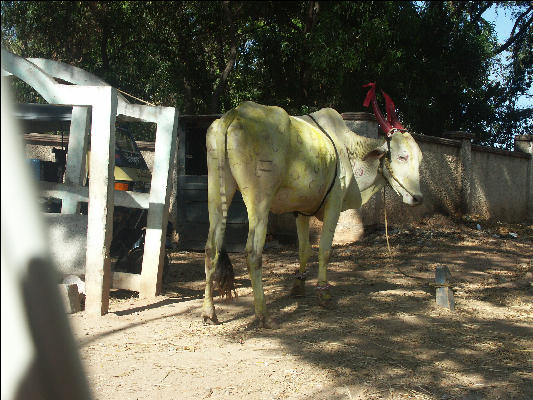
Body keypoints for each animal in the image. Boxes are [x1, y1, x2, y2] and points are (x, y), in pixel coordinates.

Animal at [202, 83, 422, 328]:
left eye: (420, 159)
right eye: (402, 156)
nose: (417, 198)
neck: (349, 149)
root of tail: (235, 113)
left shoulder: (301, 212)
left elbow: (304, 249)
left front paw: (298, 286)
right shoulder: (334, 203)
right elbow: (324, 250)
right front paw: (323, 294)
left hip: (217, 189)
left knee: (211, 247)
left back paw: (209, 312)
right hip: (259, 200)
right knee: (252, 252)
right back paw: (263, 315)